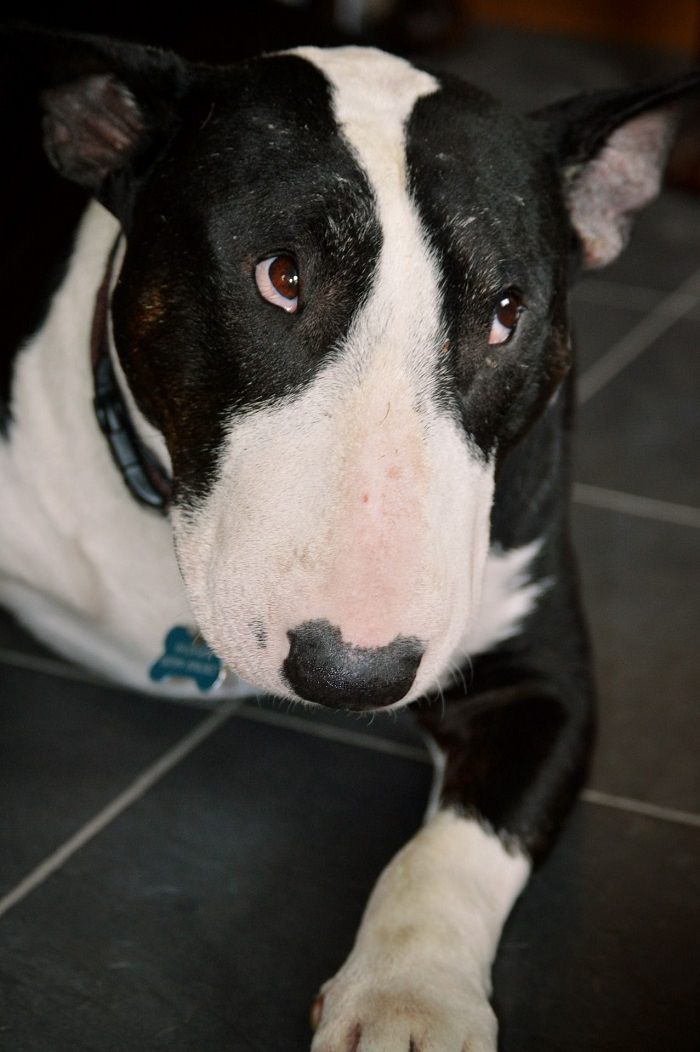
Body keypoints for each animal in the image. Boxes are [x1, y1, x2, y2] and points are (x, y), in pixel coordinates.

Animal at [1, 28, 694, 1052]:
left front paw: (410, 998)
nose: (355, 673)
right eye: (280, 276)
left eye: (506, 314)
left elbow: (458, 849)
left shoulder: (541, 673)